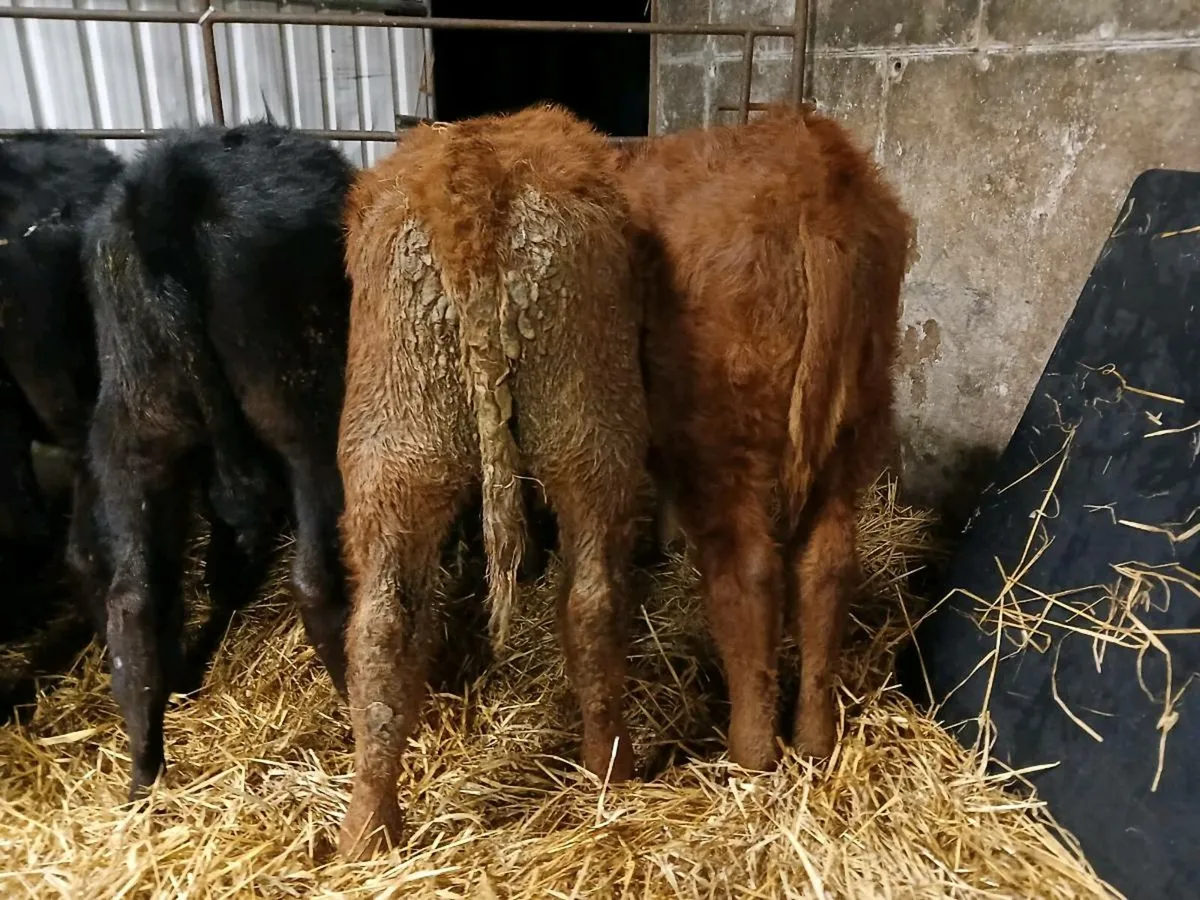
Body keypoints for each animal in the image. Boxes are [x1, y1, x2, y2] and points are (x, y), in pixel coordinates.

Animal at [70, 122, 354, 798]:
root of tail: (166, 192)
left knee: (133, 602)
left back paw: (142, 776)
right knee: (314, 579)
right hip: (305, 407)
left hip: (132, 423)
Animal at [619, 104, 911, 772]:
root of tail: (814, 169)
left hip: (724, 437)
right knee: (827, 565)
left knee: (747, 569)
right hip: (853, 428)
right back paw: (815, 740)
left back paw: (751, 752)